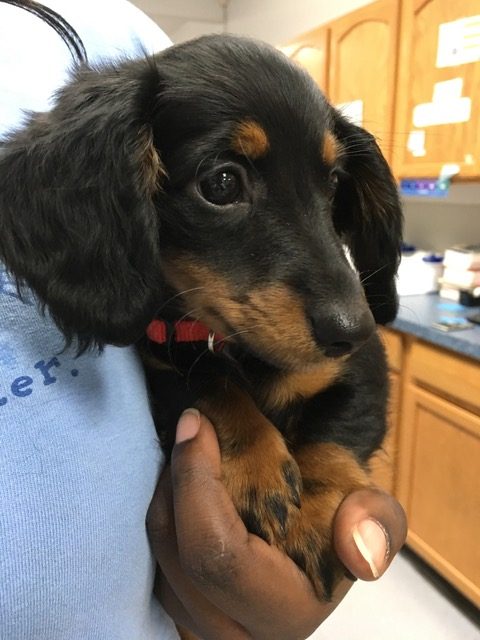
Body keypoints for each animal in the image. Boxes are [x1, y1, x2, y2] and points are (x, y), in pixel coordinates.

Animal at [0, 36, 404, 600]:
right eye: (222, 183)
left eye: (334, 182)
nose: (354, 330)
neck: (233, 347)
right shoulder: (162, 361)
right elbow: (205, 386)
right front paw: (257, 464)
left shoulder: (365, 372)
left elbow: (335, 432)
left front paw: (320, 509)